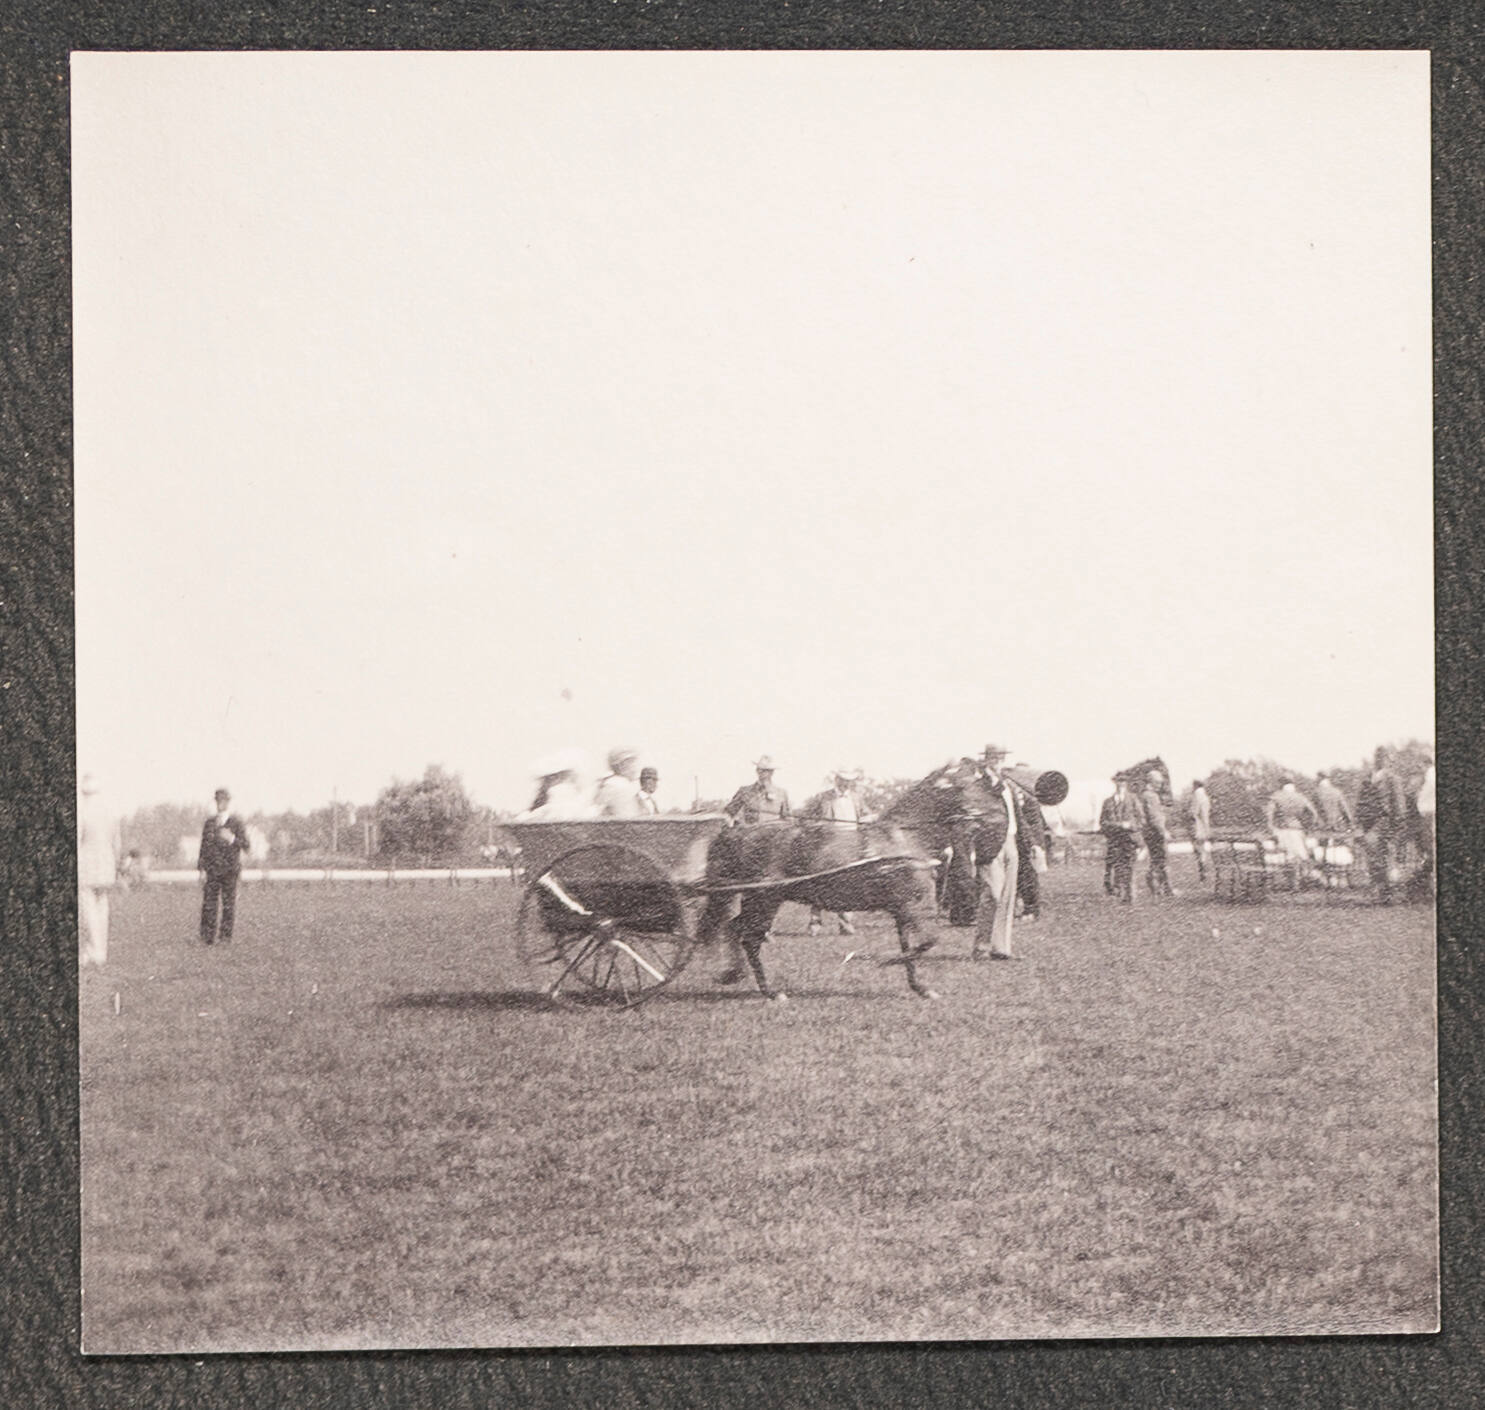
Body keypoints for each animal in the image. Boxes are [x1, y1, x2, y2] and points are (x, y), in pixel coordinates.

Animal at [694, 760, 1009, 998]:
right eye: (978, 786)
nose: (1002, 820)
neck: (905, 839)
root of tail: (738, 832)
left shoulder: (900, 909)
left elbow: (911, 946)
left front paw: (920, 987)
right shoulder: (910, 906)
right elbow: (928, 941)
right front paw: (888, 962)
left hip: (756, 898)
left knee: (735, 929)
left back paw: (734, 975)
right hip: (764, 899)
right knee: (748, 937)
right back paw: (767, 990)